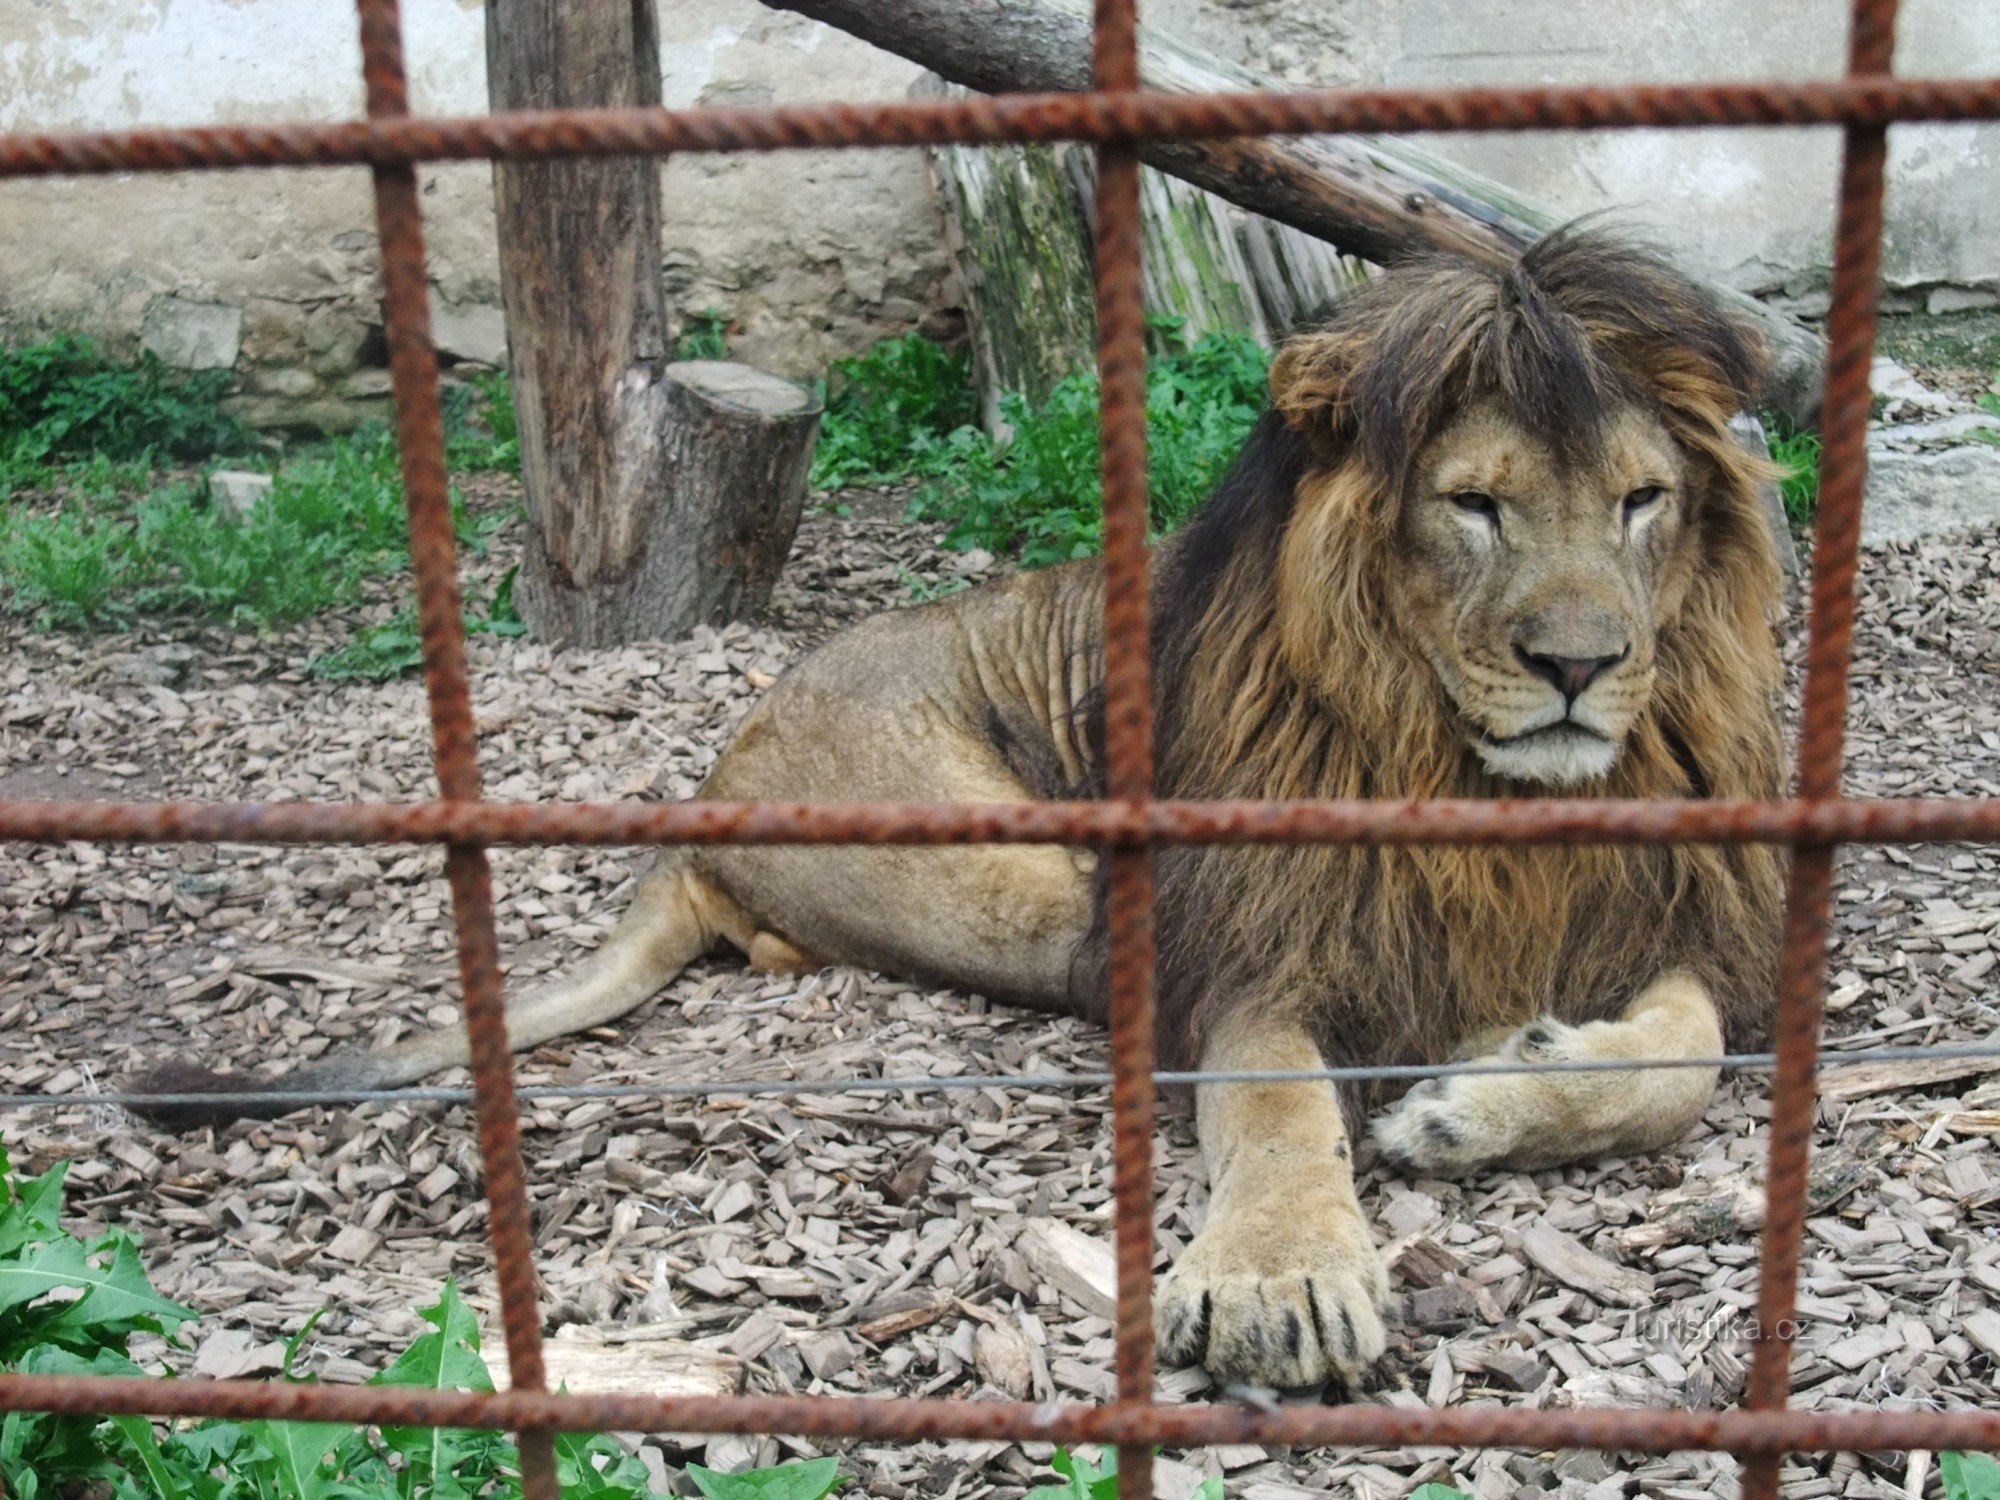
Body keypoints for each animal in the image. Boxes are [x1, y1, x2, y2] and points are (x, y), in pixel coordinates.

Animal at [148, 232, 1792, 1400]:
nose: (1580, 666)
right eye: (1475, 505)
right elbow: (1274, 1108)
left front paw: (1480, 1098)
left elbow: (1687, 1059)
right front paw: (1279, 1279)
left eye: (1640, 500)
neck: (1474, 780)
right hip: (1051, 880)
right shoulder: (1239, 941)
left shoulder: (1675, 917)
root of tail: (704, 795)